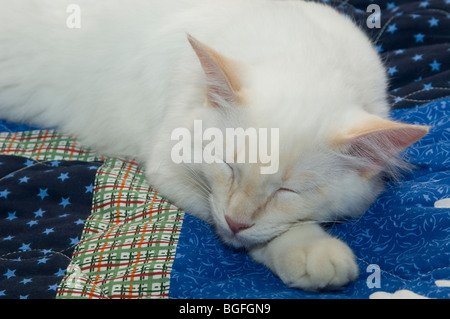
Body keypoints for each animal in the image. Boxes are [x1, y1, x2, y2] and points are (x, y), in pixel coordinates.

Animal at [0, 0, 428, 292]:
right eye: (228, 167)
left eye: (287, 192)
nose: (237, 220)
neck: (305, 55)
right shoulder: (170, 169)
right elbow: (258, 232)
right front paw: (307, 249)